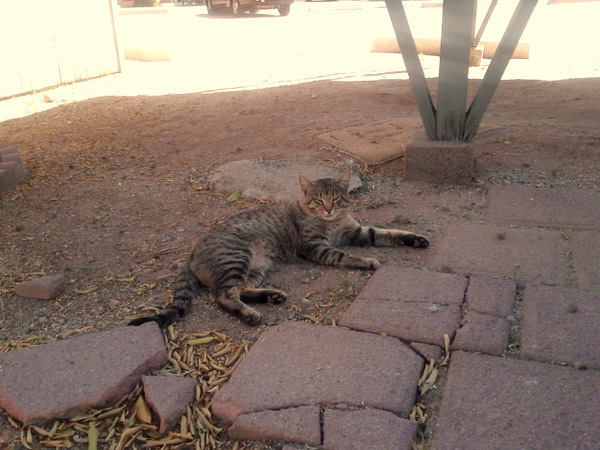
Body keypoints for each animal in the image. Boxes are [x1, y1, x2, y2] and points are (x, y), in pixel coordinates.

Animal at [130, 171, 432, 326]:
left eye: (335, 198)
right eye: (317, 201)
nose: (328, 209)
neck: (333, 224)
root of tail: (193, 248)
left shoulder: (357, 232)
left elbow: (389, 233)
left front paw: (415, 239)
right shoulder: (314, 246)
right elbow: (343, 255)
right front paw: (366, 261)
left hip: (255, 268)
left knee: (240, 289)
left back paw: (270, 296)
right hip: (235, 257)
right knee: (223, 296)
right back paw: (250, 314)